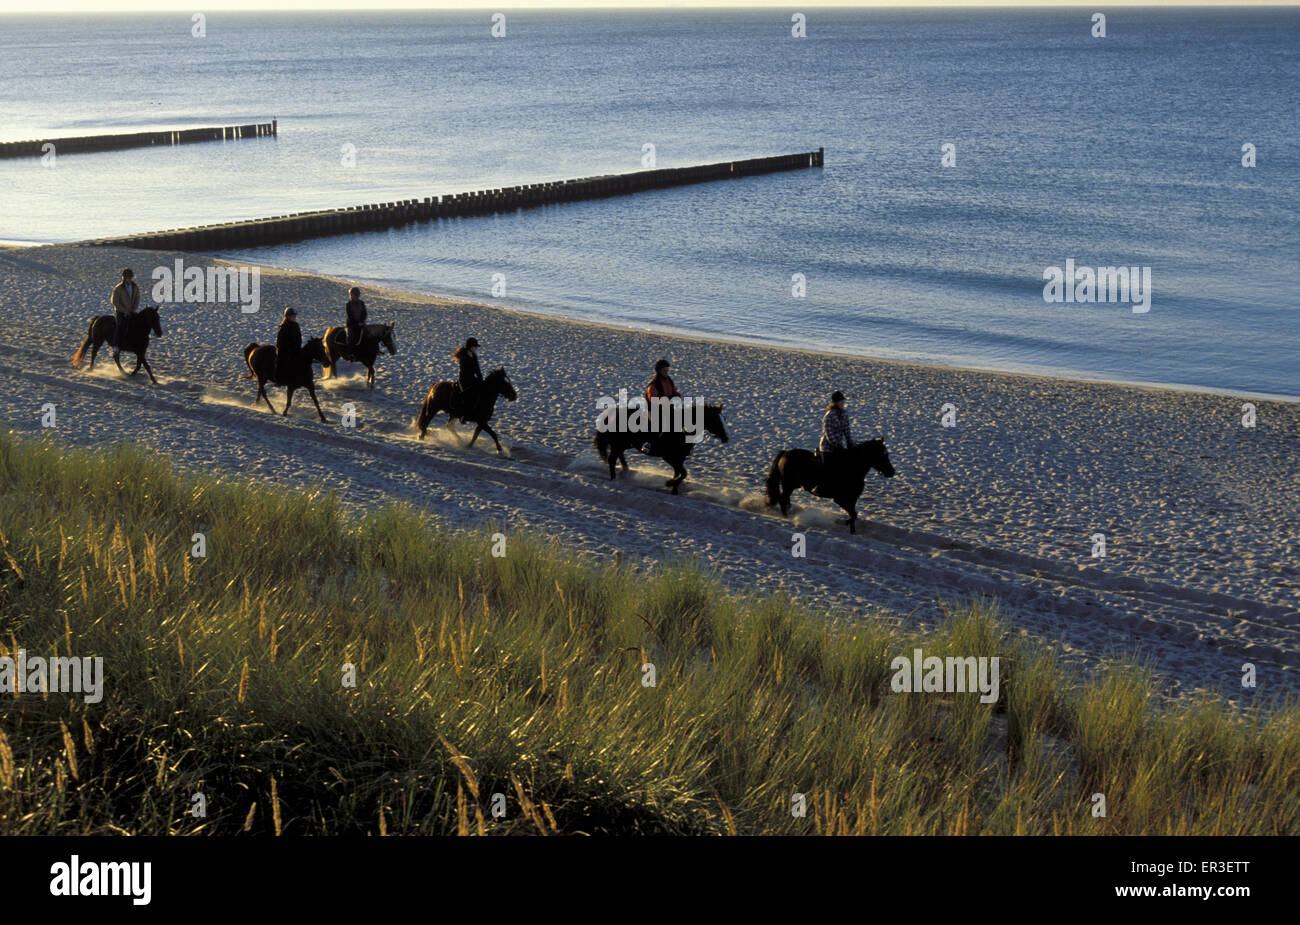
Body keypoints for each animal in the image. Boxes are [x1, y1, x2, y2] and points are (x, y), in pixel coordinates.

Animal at [595, 400, 733, 496]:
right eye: (716, 420)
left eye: (724, 419)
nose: (727, 438)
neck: (682, 430)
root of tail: (612, 413)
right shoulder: (669, 457)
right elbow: (683, 473)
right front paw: (669, 483)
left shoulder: (679, 459)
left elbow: (679, 473)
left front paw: (674, 490)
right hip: (618, 443)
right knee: (612, 460)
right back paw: (614, 478)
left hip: (624, 444)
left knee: (619, 456)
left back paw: (625, 472)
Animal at [759, 439, 894, 535]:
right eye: (882, 455)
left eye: (887, 454)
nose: (892, 472)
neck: (852, 467)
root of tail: (785, 453)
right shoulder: (840, 499)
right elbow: (853, 515)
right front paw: (840, 522)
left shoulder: (852, 499)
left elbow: (854, 515)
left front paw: (852, 532)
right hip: (788, 484)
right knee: (782, 499)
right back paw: (787, 518)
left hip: (790, 485)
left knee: (784, 499)